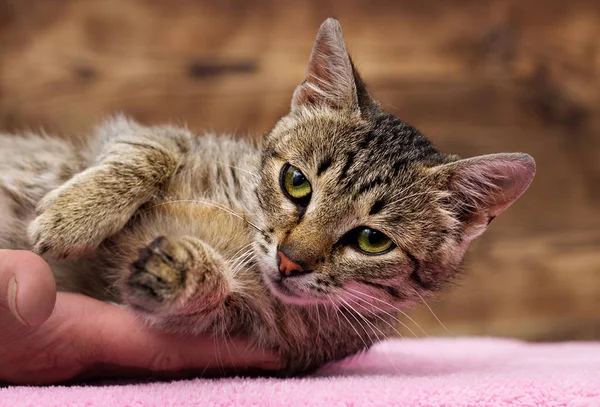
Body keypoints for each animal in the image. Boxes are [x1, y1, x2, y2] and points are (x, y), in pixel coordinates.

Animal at [0, 19, 536, 376]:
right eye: (295, 181)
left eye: (372, 240)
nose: (290, 261)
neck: (243, 218)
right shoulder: (149, 136)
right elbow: (149, 151)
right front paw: (73, 216)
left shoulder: (257, 331)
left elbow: (212, 298)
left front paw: (188, 270)